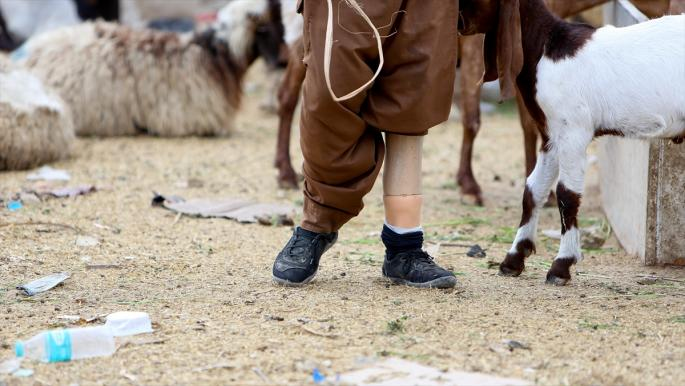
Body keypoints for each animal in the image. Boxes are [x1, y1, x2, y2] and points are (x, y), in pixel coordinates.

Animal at [460, 0, 684, 284]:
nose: (457, 23)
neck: (548, 47)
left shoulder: (573, 131)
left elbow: (567, 195)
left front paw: (561, 266)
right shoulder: (552, 135)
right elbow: (533, 189)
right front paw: (514, 258)